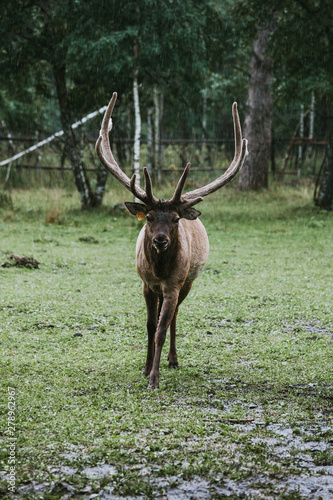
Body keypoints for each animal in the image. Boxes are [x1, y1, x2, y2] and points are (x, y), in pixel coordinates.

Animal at [96, 94, 246, 390]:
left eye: (176, 218)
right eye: (149, 217)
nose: (160, 240)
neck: (159, 272)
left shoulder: (174, 284)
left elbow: (162, 330)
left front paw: (154, 378)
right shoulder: (145, 284)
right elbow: (150, 326)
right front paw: (144, 368)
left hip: (188, 281)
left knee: (175, 314)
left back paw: (173, 359)